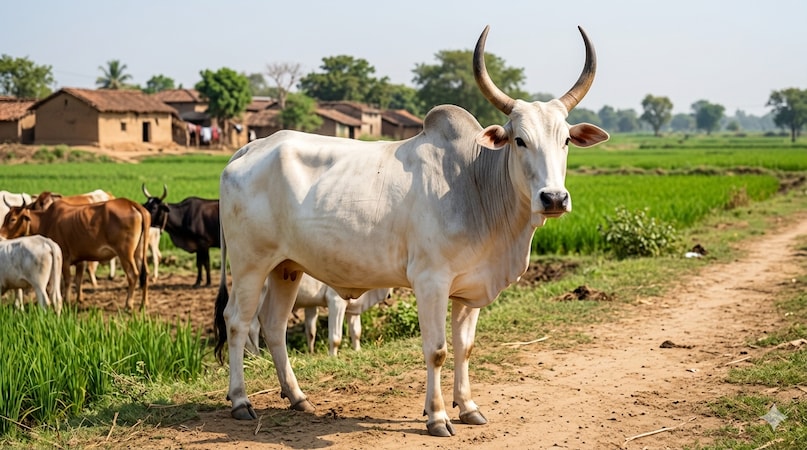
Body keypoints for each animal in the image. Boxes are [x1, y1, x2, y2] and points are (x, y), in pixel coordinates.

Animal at [0, 198, 151, 310]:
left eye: (13, 219)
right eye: (5, 217)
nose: (1, 236)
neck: (47, 220)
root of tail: (133, 204)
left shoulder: (65, 259)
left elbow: (66, 281)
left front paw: (67, 301)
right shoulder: (79, 259)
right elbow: (78, 279)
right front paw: (79, 299)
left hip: (125, 254)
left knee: (133, 275)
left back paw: (128, 304)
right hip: (138, 252)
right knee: (145, 273)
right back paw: (143, 304)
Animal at [246, 275, 391, 356]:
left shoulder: (352, 309)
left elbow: (356, 332)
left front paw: (357, 351)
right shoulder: (335, 301)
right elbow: (336, 337)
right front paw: (333, 356)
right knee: (253, 328)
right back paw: (257, 355)